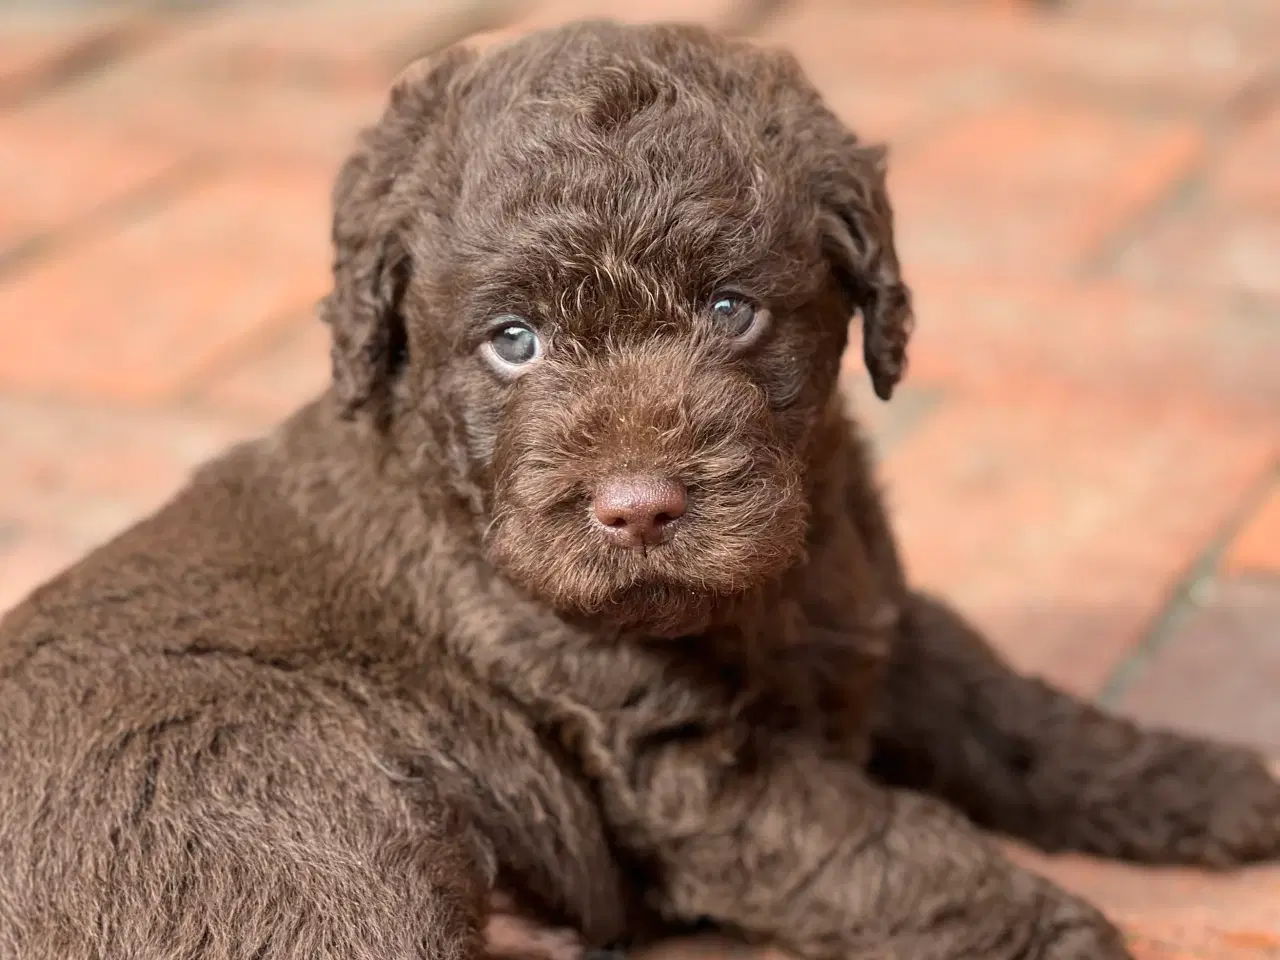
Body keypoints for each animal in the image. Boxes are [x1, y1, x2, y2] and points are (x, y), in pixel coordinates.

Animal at [2, 20, 1280, 960]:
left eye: (730, 310)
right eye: (512, 343)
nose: (638, 510)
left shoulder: (882, 621)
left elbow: (1022, 718)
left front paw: (1210, 783)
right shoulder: (691, 771)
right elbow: (887, 849)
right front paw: (1057, 933)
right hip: (302, 816)